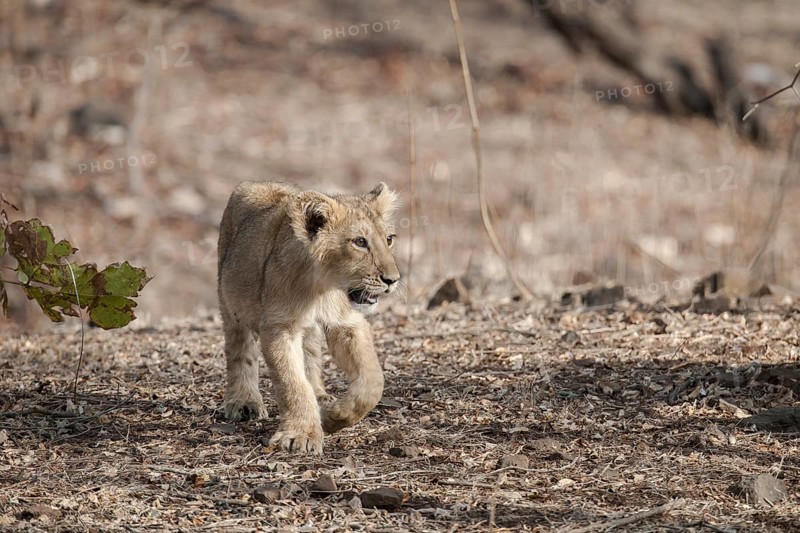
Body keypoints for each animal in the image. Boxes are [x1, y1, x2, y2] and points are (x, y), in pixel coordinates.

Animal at [217, 180, 400, 454]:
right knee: (240, 350)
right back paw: (244, 401)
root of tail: (258, 183)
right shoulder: (279, 326)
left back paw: (320, 394)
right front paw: (301, 435)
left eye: (389, 239)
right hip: (231, 304)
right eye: (360, 242)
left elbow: (372, 382)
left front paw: (333, 417)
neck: (322, 287)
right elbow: (292, 382)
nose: (393, 280)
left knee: (311, 352)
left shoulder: (348, 323)